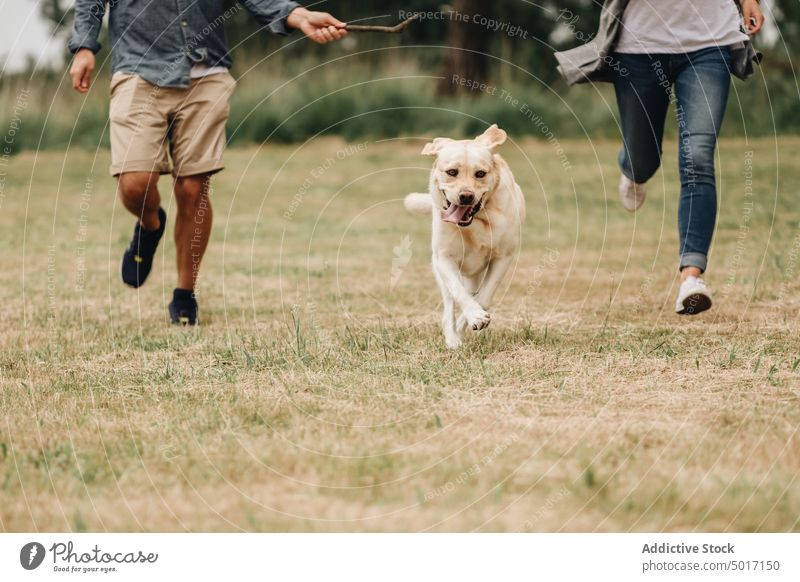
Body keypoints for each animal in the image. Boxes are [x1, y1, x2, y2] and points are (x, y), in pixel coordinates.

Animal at [406, 125, 524, 350]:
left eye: (480, 173)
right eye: (452, 172)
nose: (466, 196)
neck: (475, 222)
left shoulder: (503, 257)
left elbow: (484, 296)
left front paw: (475, 318)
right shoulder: (444, 258)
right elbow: (458, 292)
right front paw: (474, 317)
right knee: (449, 306)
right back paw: (452, 339)